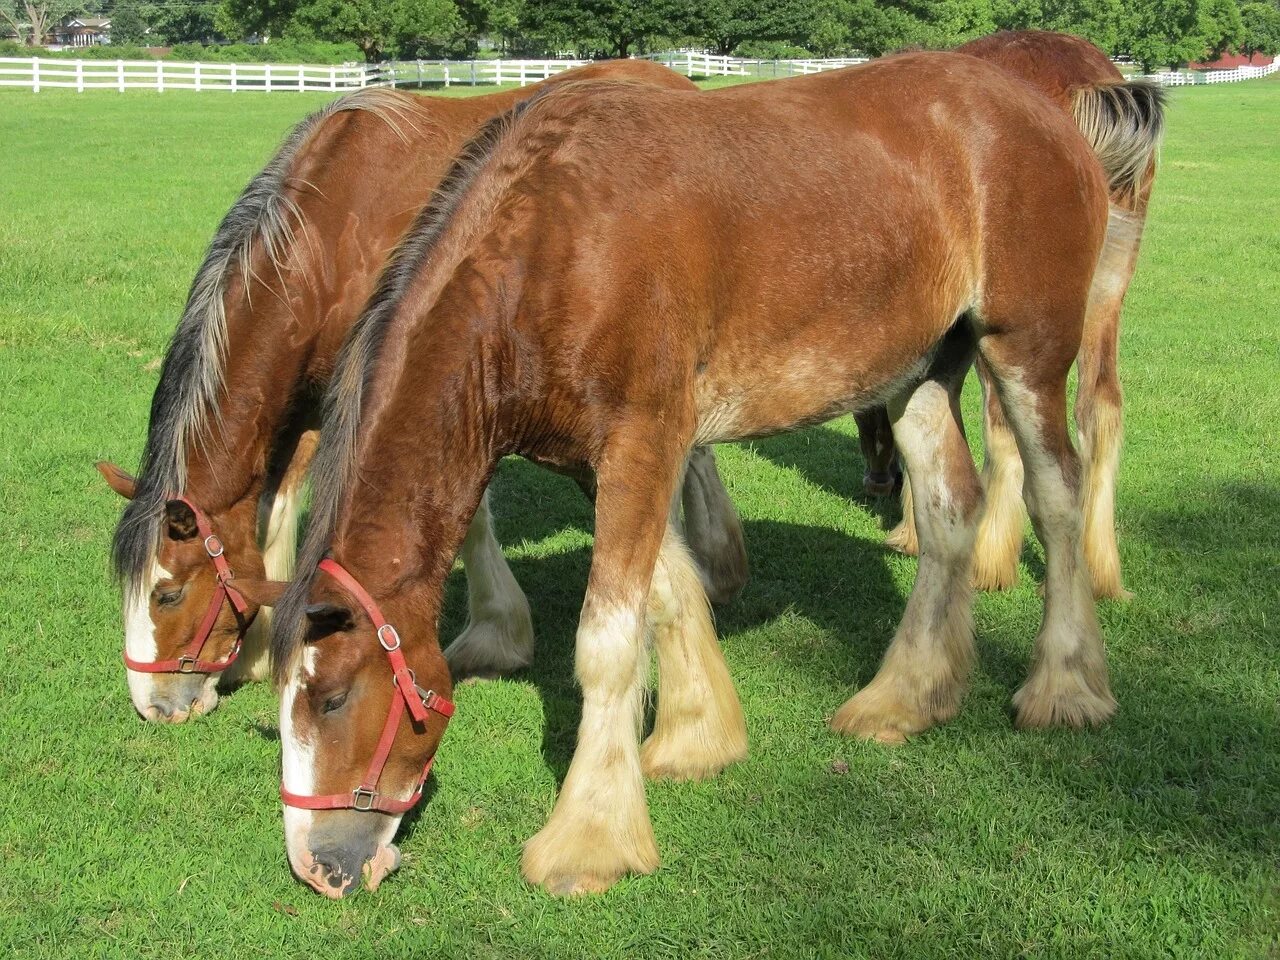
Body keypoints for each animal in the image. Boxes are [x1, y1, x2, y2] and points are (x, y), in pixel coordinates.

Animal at [94, 60, 737, 727]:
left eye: (167, 594)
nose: (155, 705)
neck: (330, 238)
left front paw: (497, 635)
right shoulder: (309, 406)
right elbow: (274, 510)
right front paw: (262, 651)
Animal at [860, 32, 1162, 601]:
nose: (877, 480)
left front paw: (911, 531)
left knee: (1006, 429)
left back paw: (990, 559)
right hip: (1104, 293)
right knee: (1102, 408)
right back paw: (1099, 570)